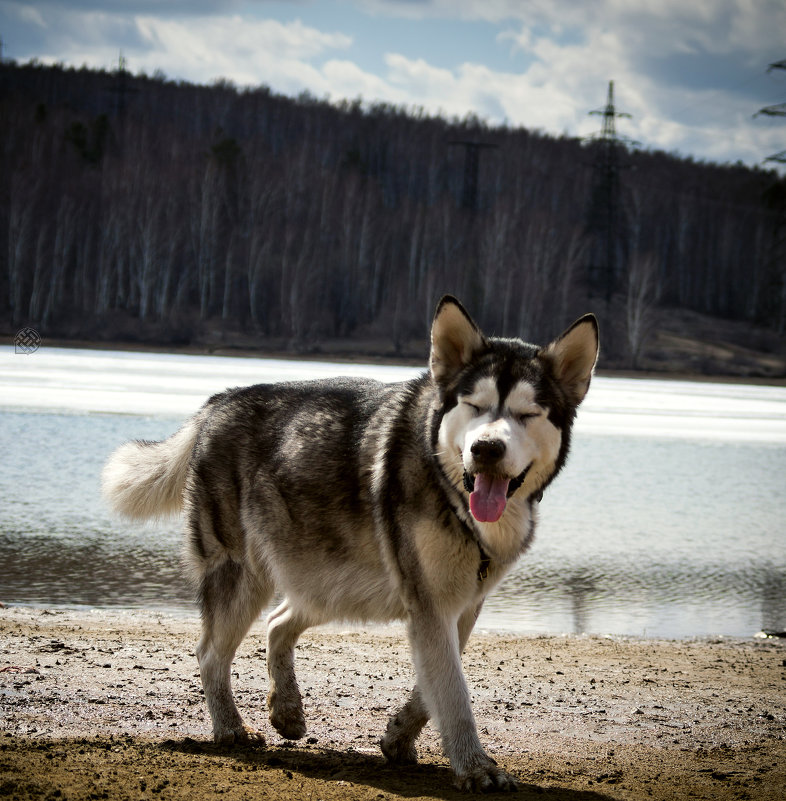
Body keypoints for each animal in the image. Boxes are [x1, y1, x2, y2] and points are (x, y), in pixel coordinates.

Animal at [102, 296, 596, 792]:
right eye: (475, 406)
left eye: (527, 414)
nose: (487, 448)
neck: (452, 494)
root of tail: (219, 401)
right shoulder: (431, 604)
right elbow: (454, 695)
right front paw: (476, 767)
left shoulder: (461, 605)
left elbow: (433, 687)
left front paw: (399, 737)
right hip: (248, 577)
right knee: (210, 653)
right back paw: (230, 728)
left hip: (328, 580)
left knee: (278, 622)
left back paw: (286, 708)